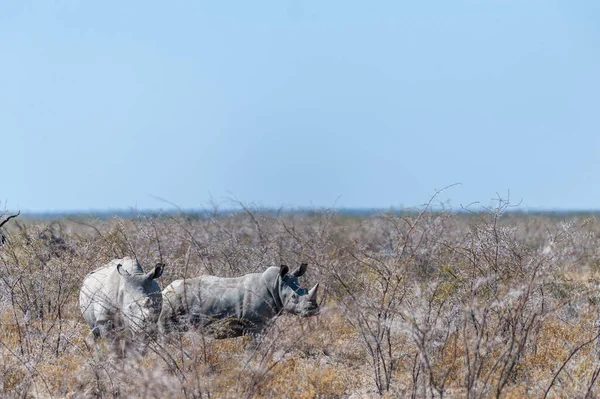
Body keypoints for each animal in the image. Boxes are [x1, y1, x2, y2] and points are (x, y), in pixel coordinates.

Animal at [158, 264, 318, 340]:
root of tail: (165, 290)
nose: (314, 310)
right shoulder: (255, 323)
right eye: (294, 298)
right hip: (171, 302)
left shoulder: (264, 321)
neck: (276, 285)